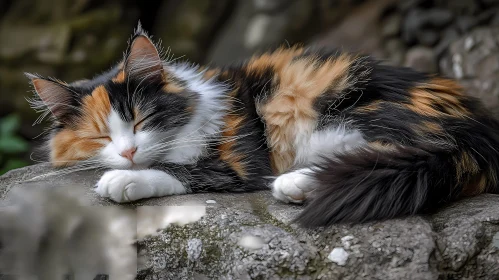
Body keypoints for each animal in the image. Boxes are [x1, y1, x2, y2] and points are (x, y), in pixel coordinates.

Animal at [25, 24, 499, 228]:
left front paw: (122, 180)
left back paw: (295, 184)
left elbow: (181, 169)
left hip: (351, 117)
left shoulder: (240, 159)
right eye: (99, 136)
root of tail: (478, 130)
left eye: (141, 119)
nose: (127, 151)